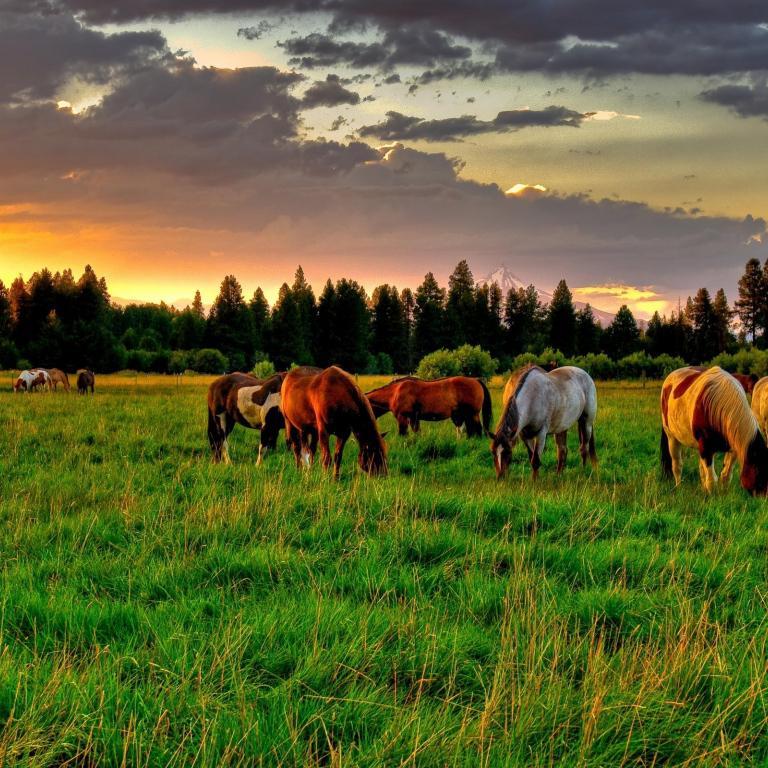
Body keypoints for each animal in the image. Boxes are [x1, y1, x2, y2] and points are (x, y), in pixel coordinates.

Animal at [660, 364, 768, 496]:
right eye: (761, 474)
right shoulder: (706, 448)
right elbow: (711, 480)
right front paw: (711, 498)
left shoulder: (732, 449)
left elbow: (725, 475)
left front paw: (723, 495)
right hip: (672, 437)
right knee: (677, 465)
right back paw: (679, 488)